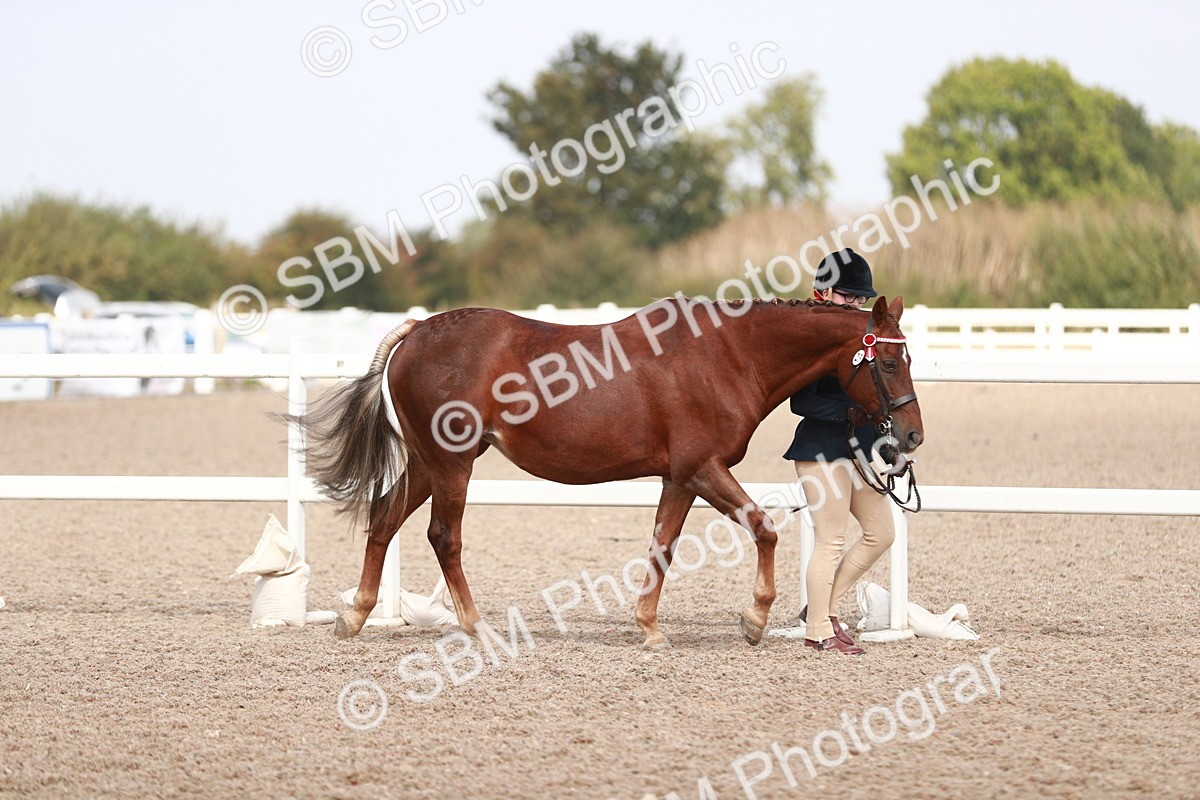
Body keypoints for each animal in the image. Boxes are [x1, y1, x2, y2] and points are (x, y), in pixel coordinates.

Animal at [297, 295, 924, 651]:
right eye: (891, 361)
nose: (912, 436)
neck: (726, 354)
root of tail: (419, 331)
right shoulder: (703, 469)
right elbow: (764, 529)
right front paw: (753, 619)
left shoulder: (679, 478)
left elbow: (662, 546)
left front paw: (648, 627)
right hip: (452, 464)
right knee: (442, 537)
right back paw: (478, 629)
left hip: (430, 464)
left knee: (384, 519)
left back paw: (354, 615)